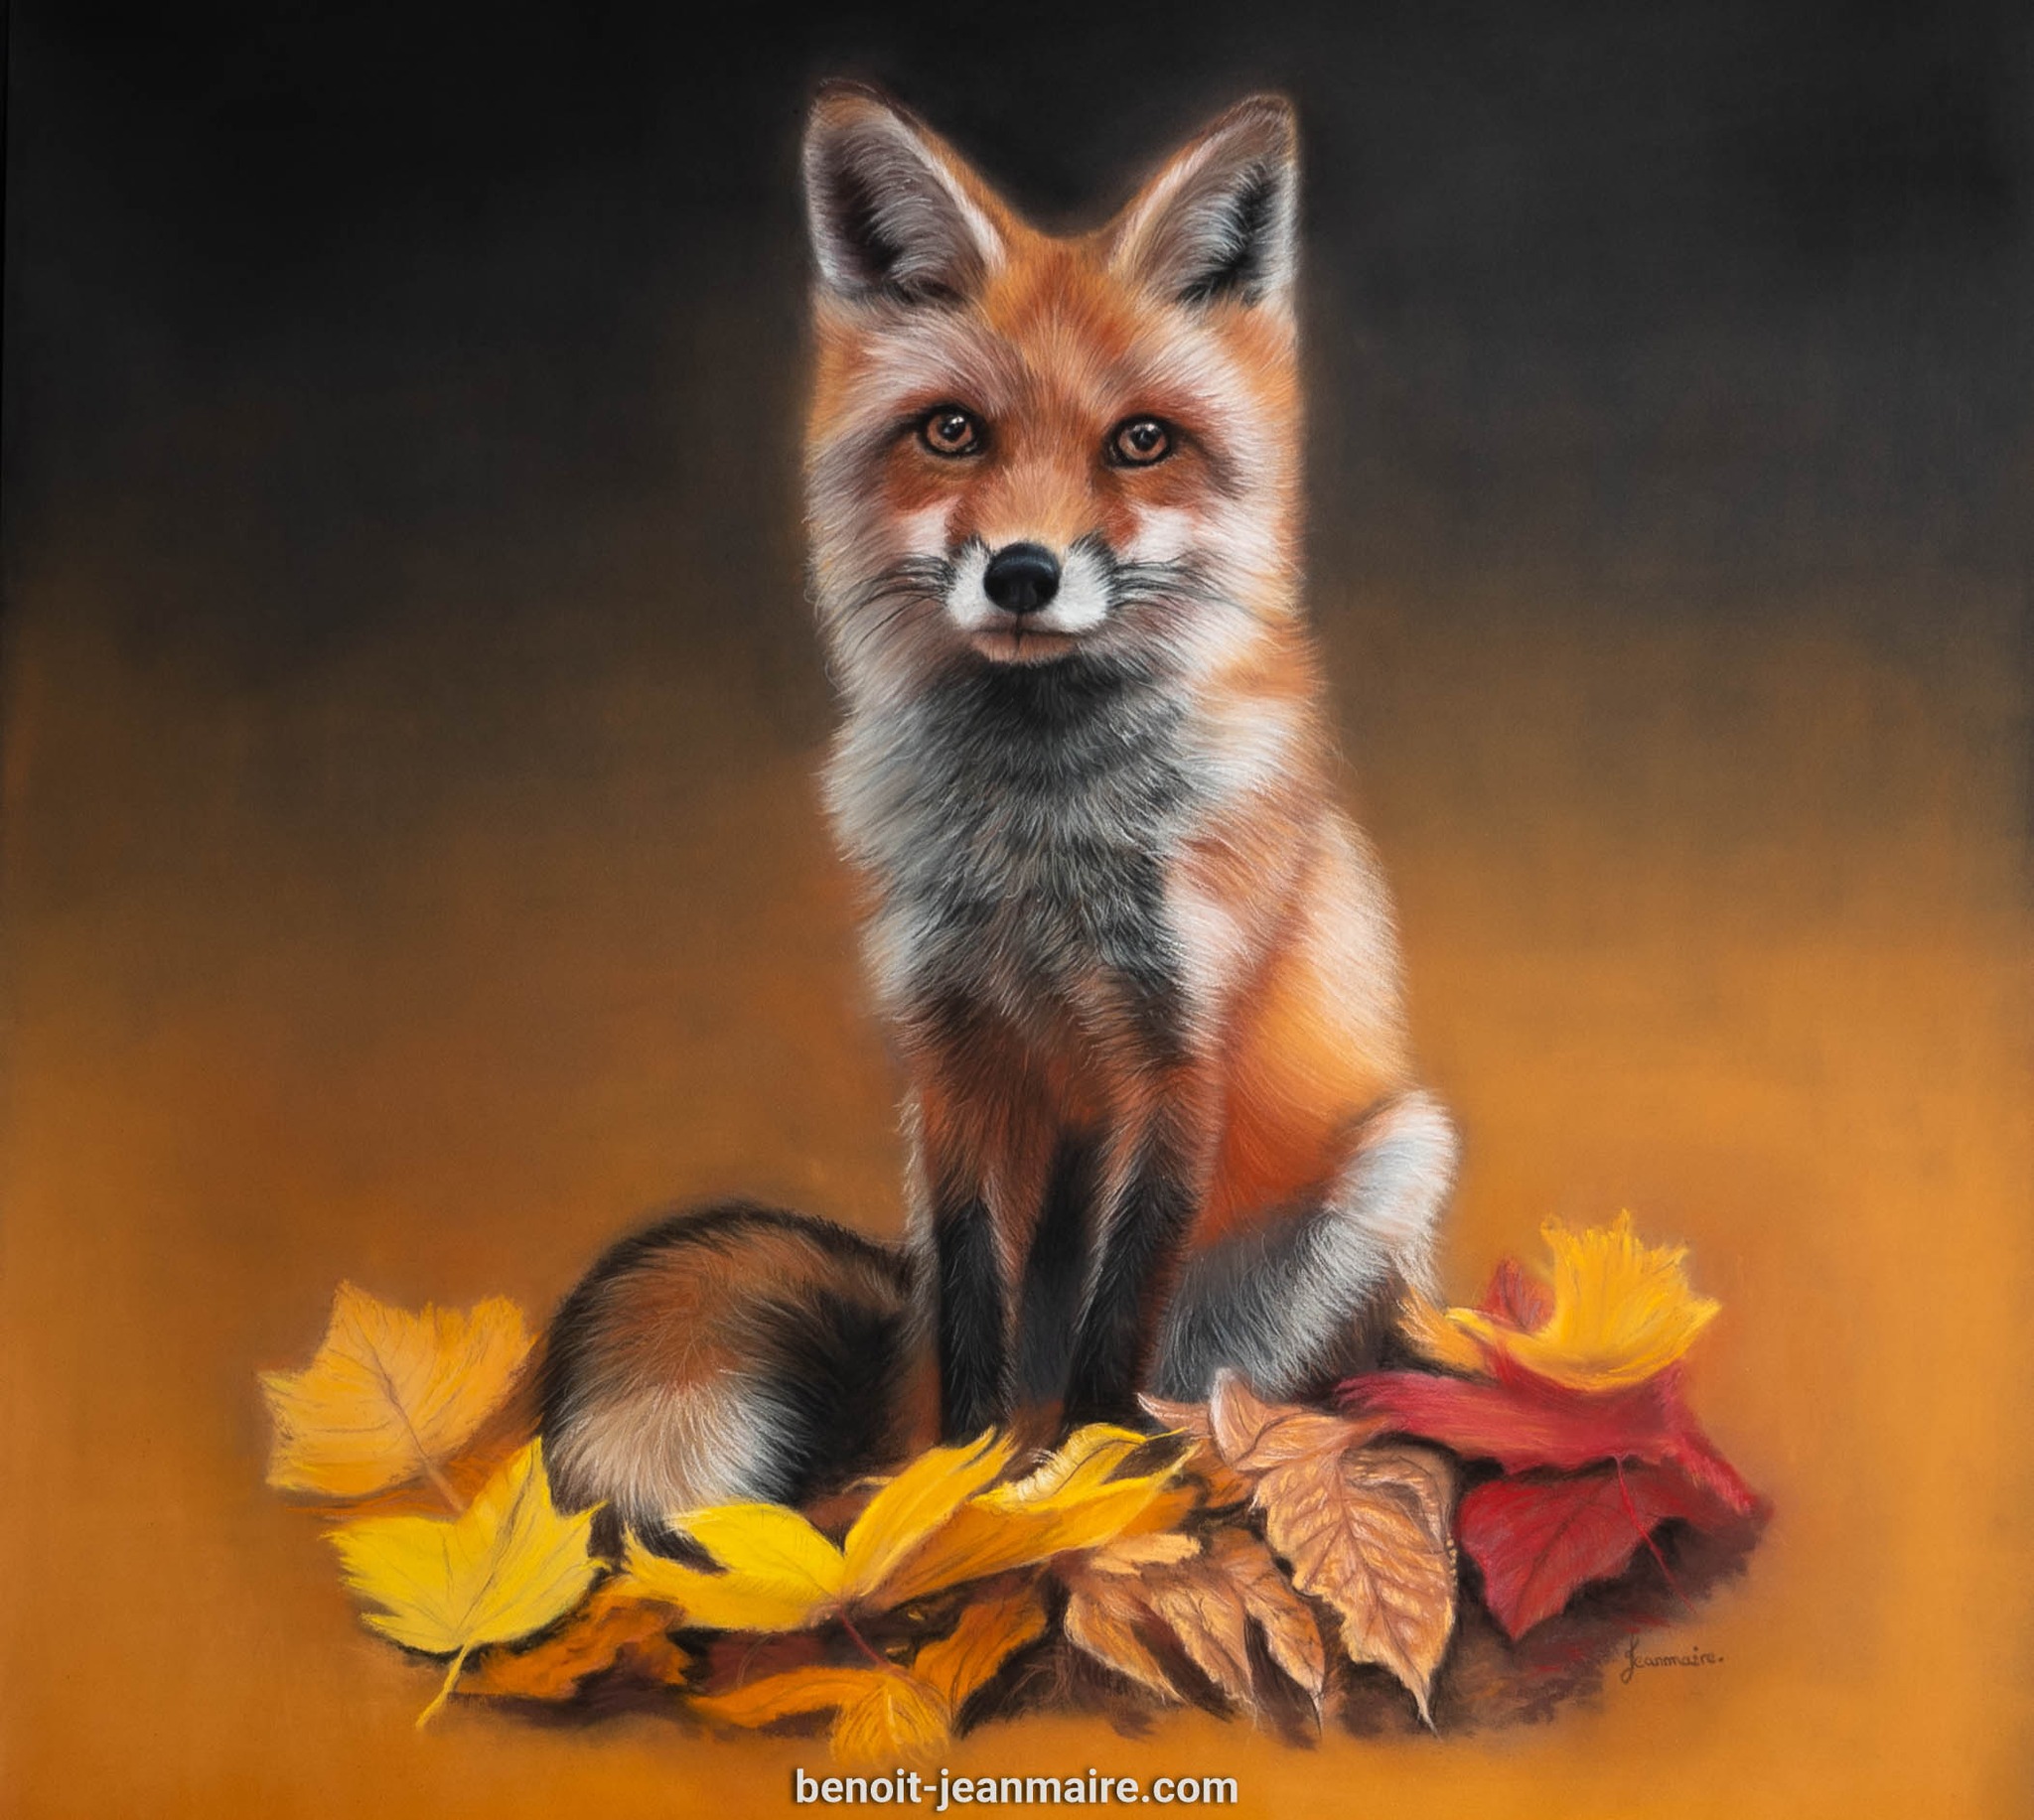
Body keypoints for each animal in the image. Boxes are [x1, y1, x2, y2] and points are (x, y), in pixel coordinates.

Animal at [540, 84, 1458, 1534]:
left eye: (1140, 441)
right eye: (952, 430)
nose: (1023, 573)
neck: (1041, 845)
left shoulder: (1175, 1062)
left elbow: (1113, 1316)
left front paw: (1093, 1489)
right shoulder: (954, 1053)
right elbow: (979, 1302)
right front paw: (955, 1497)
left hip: (1388, 1166)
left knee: (1257, 1378)